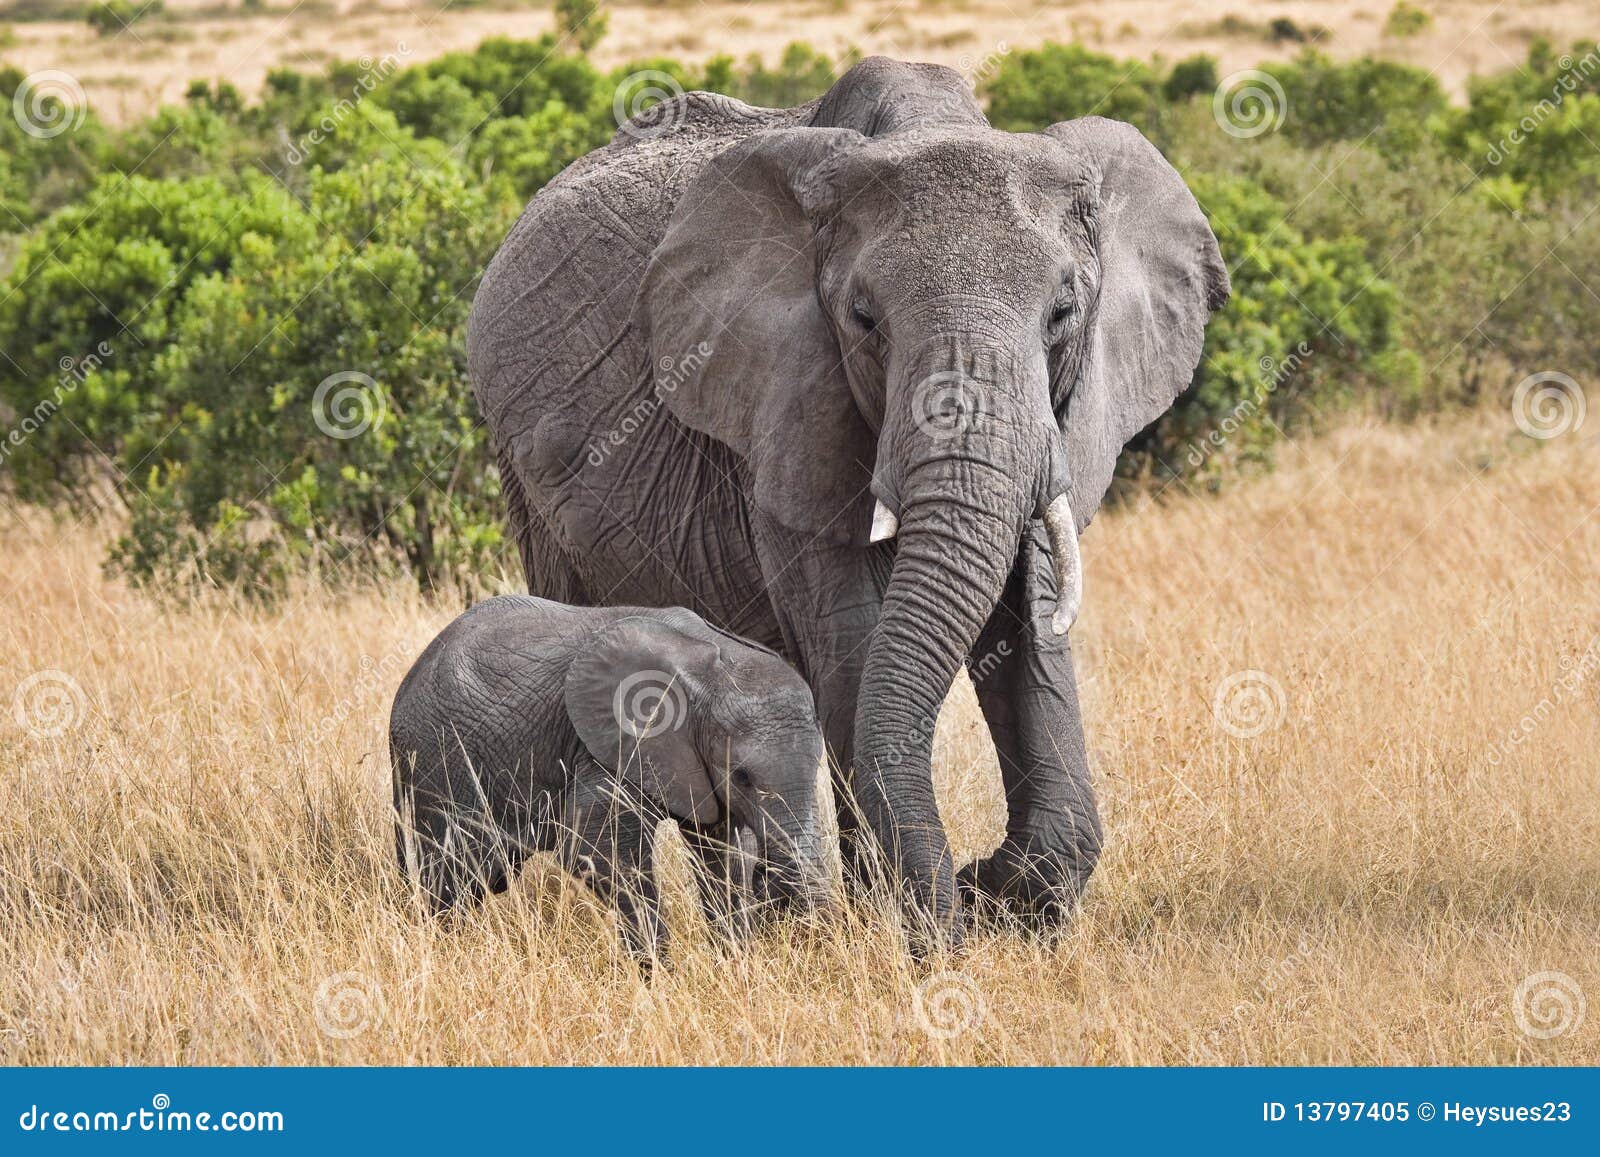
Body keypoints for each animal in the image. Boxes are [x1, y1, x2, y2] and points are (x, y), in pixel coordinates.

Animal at [390, 595, 830, 960]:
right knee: (454, 874)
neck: (716, 664)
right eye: (741, 776)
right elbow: (595, 850)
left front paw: (736, 964)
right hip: (440, 757)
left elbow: (726, 854)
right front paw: (658, 977)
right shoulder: (606, 746)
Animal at [467, 56, 1229, 945]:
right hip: (526, 477)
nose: (969, 886)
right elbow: (854, 643)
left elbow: (1031, 624)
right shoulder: (788, 404)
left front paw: (1000, 894)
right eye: (865, 320)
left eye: (1063, 315)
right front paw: (917, 915)